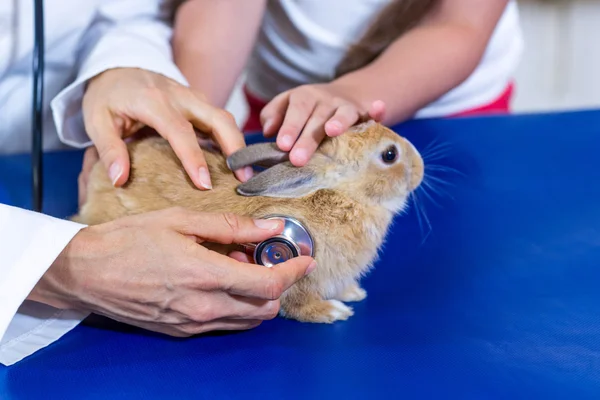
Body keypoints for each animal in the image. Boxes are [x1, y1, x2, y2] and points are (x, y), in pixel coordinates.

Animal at [74, 120, 422, 324]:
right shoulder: (300, 280)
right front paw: (334, 311)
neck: (343, 198)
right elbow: (301, 305)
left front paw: (352, 293)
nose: (419, 169)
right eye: (390, 155)